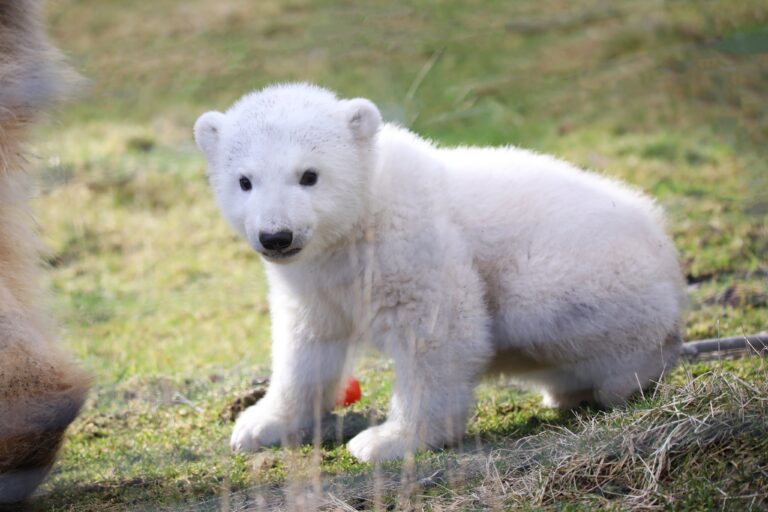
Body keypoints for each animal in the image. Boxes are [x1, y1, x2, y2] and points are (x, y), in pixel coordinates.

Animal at [194, 83, 685, 463]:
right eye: (244, 181)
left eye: (309, 175)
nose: (276, 236)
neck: (361, 218)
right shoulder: (313, 276)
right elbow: (307, 341)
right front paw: (259, 425)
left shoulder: (414, 245)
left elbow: (438, 332)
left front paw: (387, 441)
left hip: (591, 274)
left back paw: (618, 380)